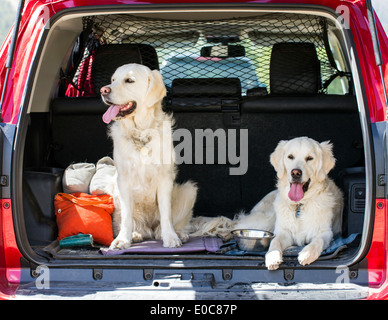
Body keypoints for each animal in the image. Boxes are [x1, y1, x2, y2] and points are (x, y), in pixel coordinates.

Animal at [100, 63, 197, 250]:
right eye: (113, 80)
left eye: (129, 80)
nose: (103, 90)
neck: (141, 132)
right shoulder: (123, 180)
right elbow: (127, 217)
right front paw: (122, 240)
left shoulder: (164, 178)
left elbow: (166, 214)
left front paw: (171, 237)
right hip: (112, 188)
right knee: (137, 226)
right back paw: (136, 234)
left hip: (189, 190)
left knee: (163, 228)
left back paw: (177, 234)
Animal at [235, 137, 344, 270]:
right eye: (290, 157)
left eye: (309, 158)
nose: (295, 173)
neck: (300, 204)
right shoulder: (284, 231)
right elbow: (275, 241)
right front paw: (272, 256)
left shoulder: (325, 232)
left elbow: (318, 241)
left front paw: (307, 253)